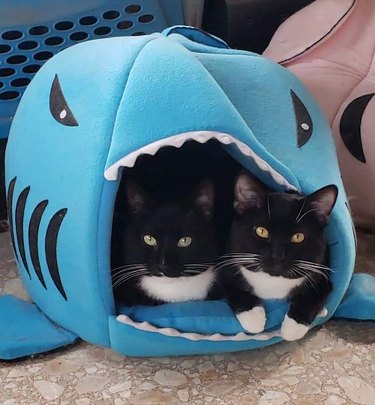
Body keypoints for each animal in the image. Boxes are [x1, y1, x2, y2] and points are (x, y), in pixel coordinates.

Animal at [220, 172, 338, 340]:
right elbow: (234, 287)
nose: (277, 255)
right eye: (261, 231)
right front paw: (254, 318)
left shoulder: (322, 272)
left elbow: (313, 295)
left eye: (298, 237)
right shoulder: (226, 262)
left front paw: (292, 328)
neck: (273, 280)